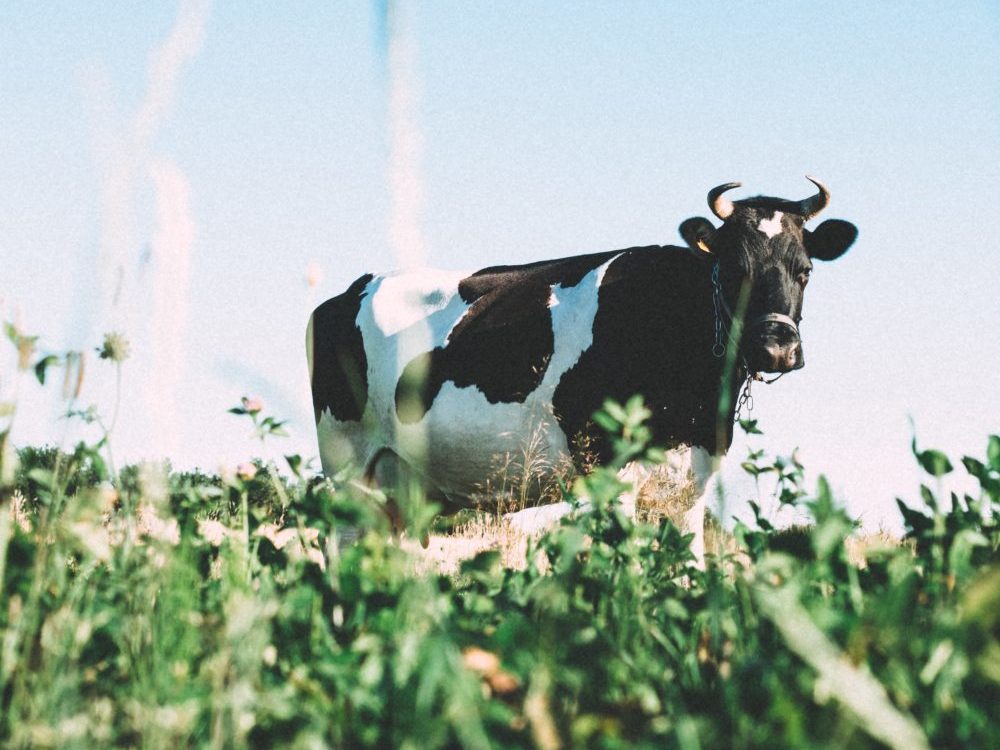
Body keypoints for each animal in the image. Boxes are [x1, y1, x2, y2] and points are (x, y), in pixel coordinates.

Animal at [308, 176, 856, 564]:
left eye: (805, 270)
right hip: (347, 465)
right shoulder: (611, 466)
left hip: (401, 488)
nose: (776, 348)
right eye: (735, 269)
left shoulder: (694, 477)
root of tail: (347, 291)